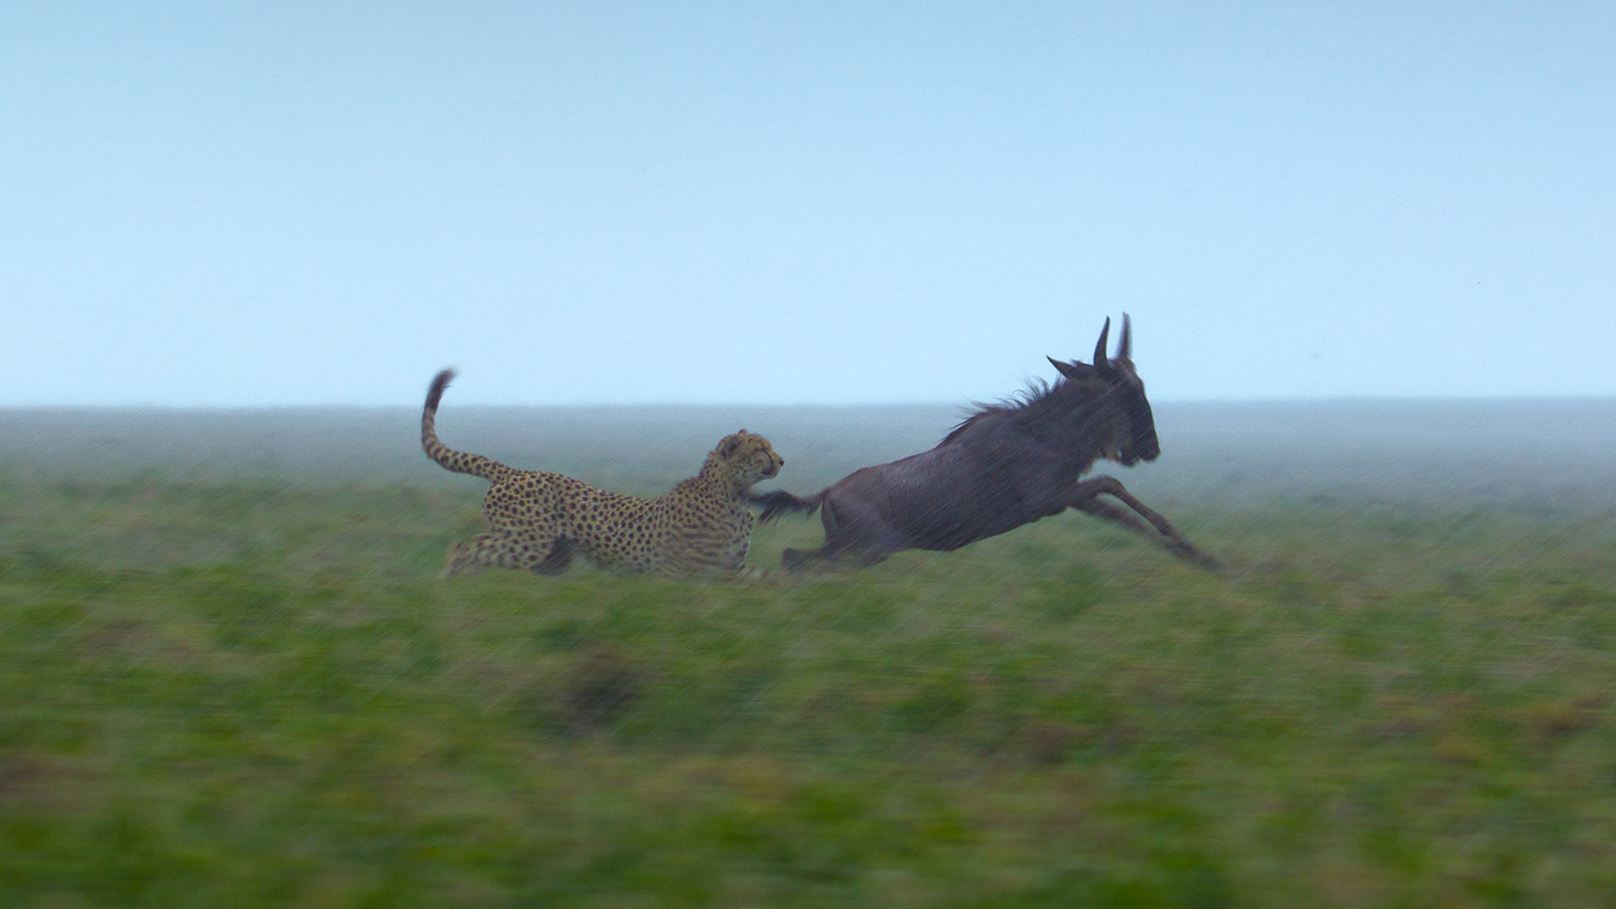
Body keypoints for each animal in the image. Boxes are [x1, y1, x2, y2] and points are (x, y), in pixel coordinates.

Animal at [421, 369, 783, 579]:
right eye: (761, 450)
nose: (781, 461)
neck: (734, 493)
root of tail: (515, 471)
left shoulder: (728, 569)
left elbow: (773, 580)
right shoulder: (685, 571)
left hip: (549, 556)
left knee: (479, 542)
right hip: (531, 544)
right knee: (464, 547)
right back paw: (447, 581)